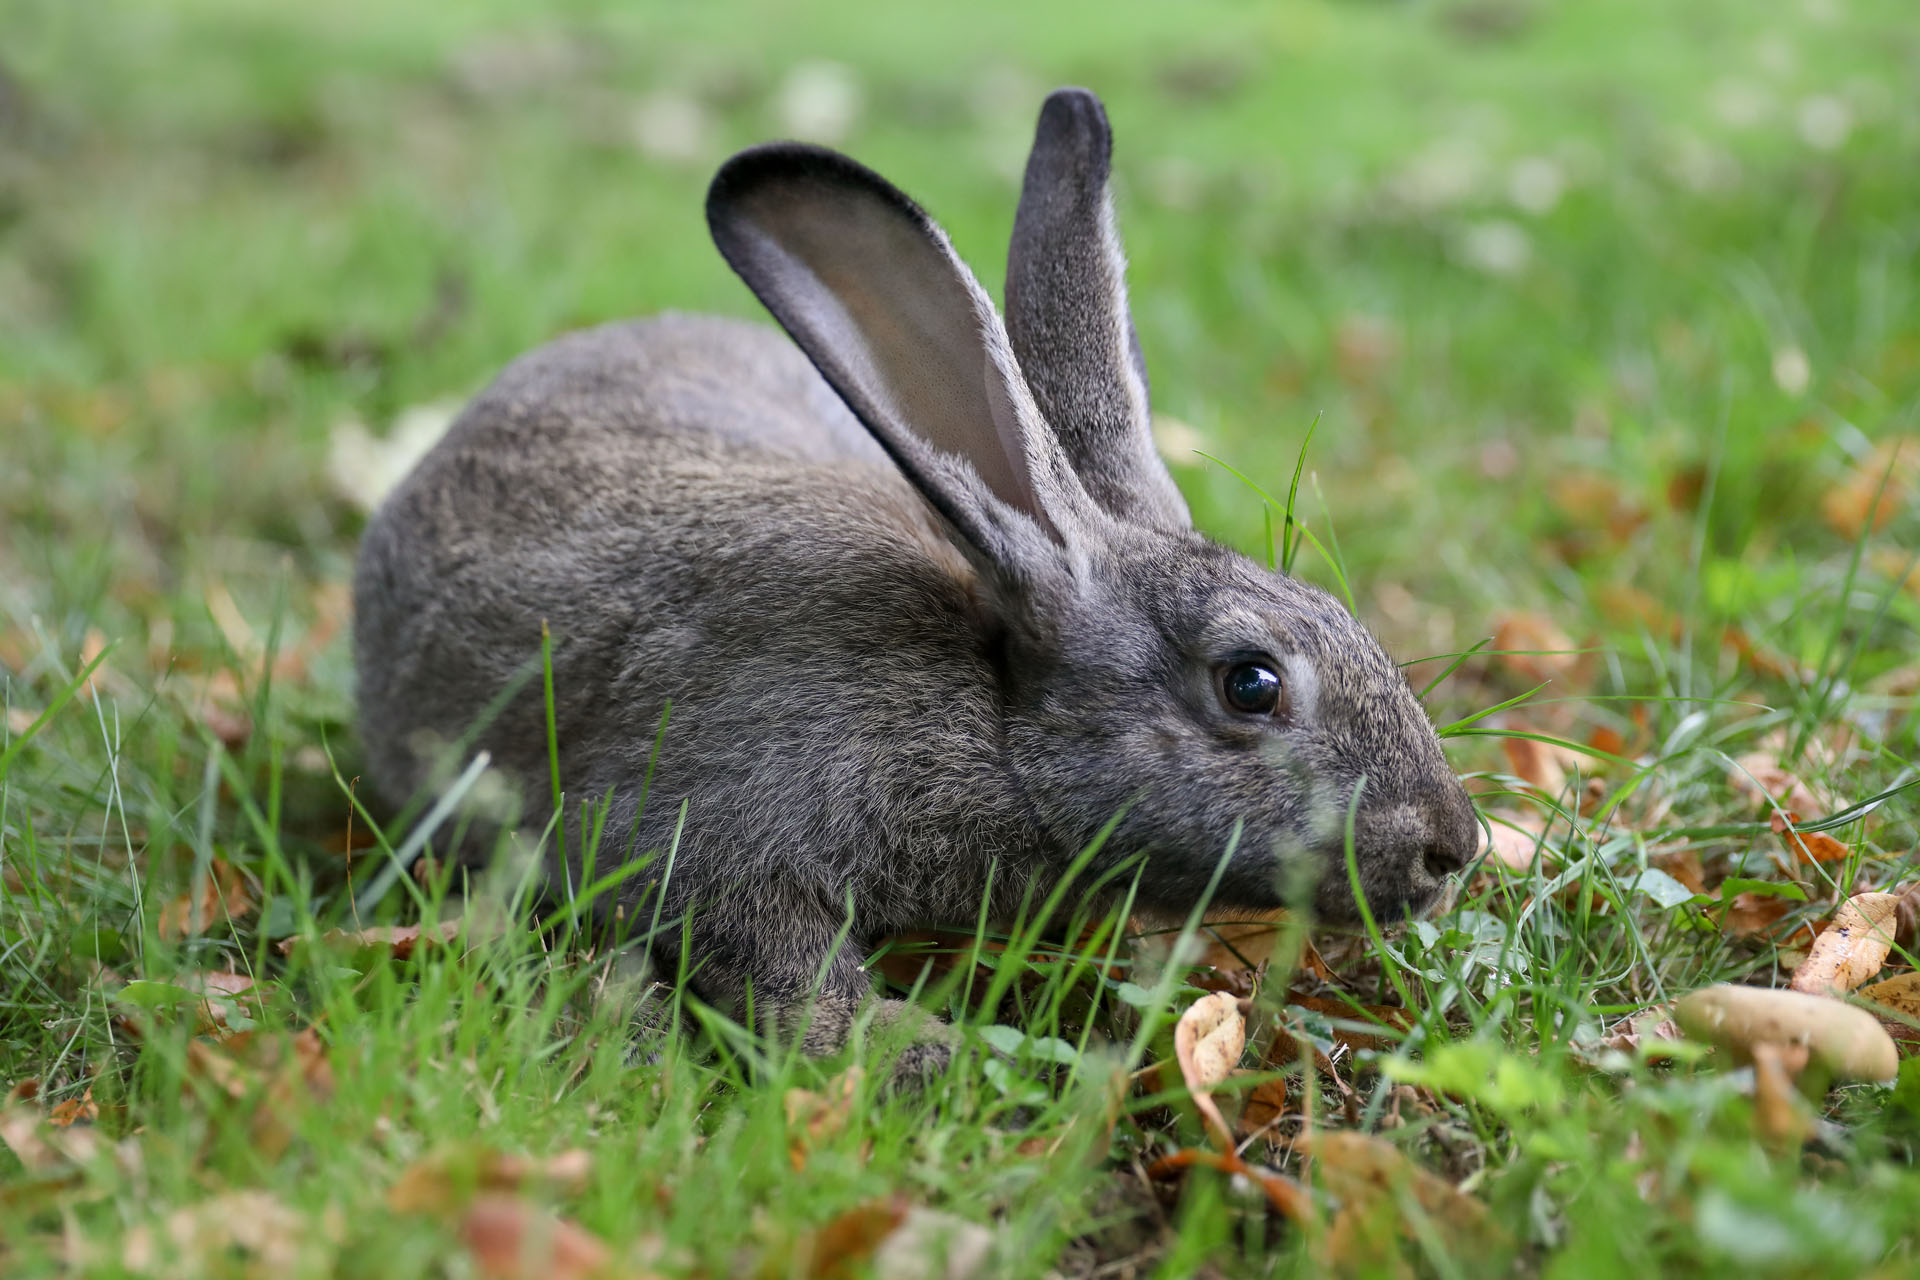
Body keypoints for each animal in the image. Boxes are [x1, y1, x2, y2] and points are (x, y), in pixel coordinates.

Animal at [352, 87, 1480, 1078]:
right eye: (1252, 683)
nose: (1454, 848)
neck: (995, 718)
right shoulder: (706, 826)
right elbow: (781, 963)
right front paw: (916, 1053)